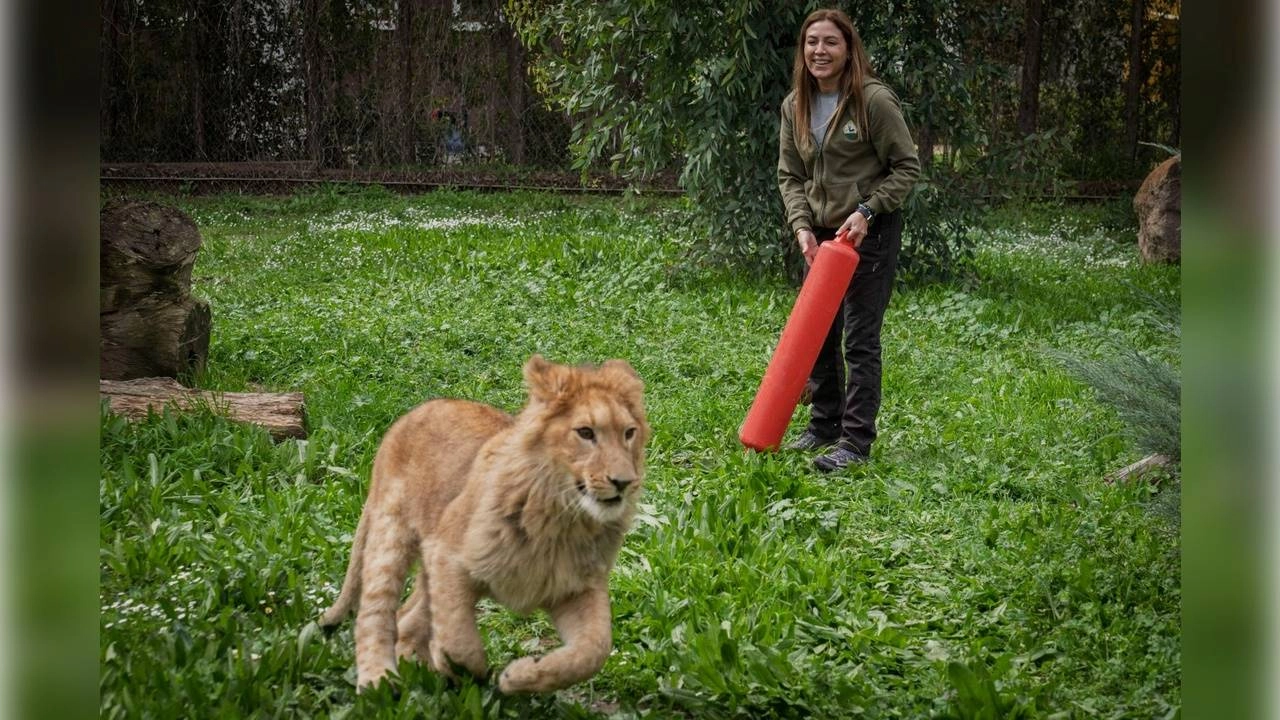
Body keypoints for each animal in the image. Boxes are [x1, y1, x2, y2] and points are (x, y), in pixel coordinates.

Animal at [320, 353, 650, 691]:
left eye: (629, 433)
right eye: (585, 433)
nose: (623, 482)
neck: (563, 519)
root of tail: (410, 415)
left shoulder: (578, 587)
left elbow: (593, 651)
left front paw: (518, 677)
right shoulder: (447, 556)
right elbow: (458, 639)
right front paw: (463, 668)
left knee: (406, 617)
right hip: (392, 532)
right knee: (376, 612)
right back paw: (379, 681)